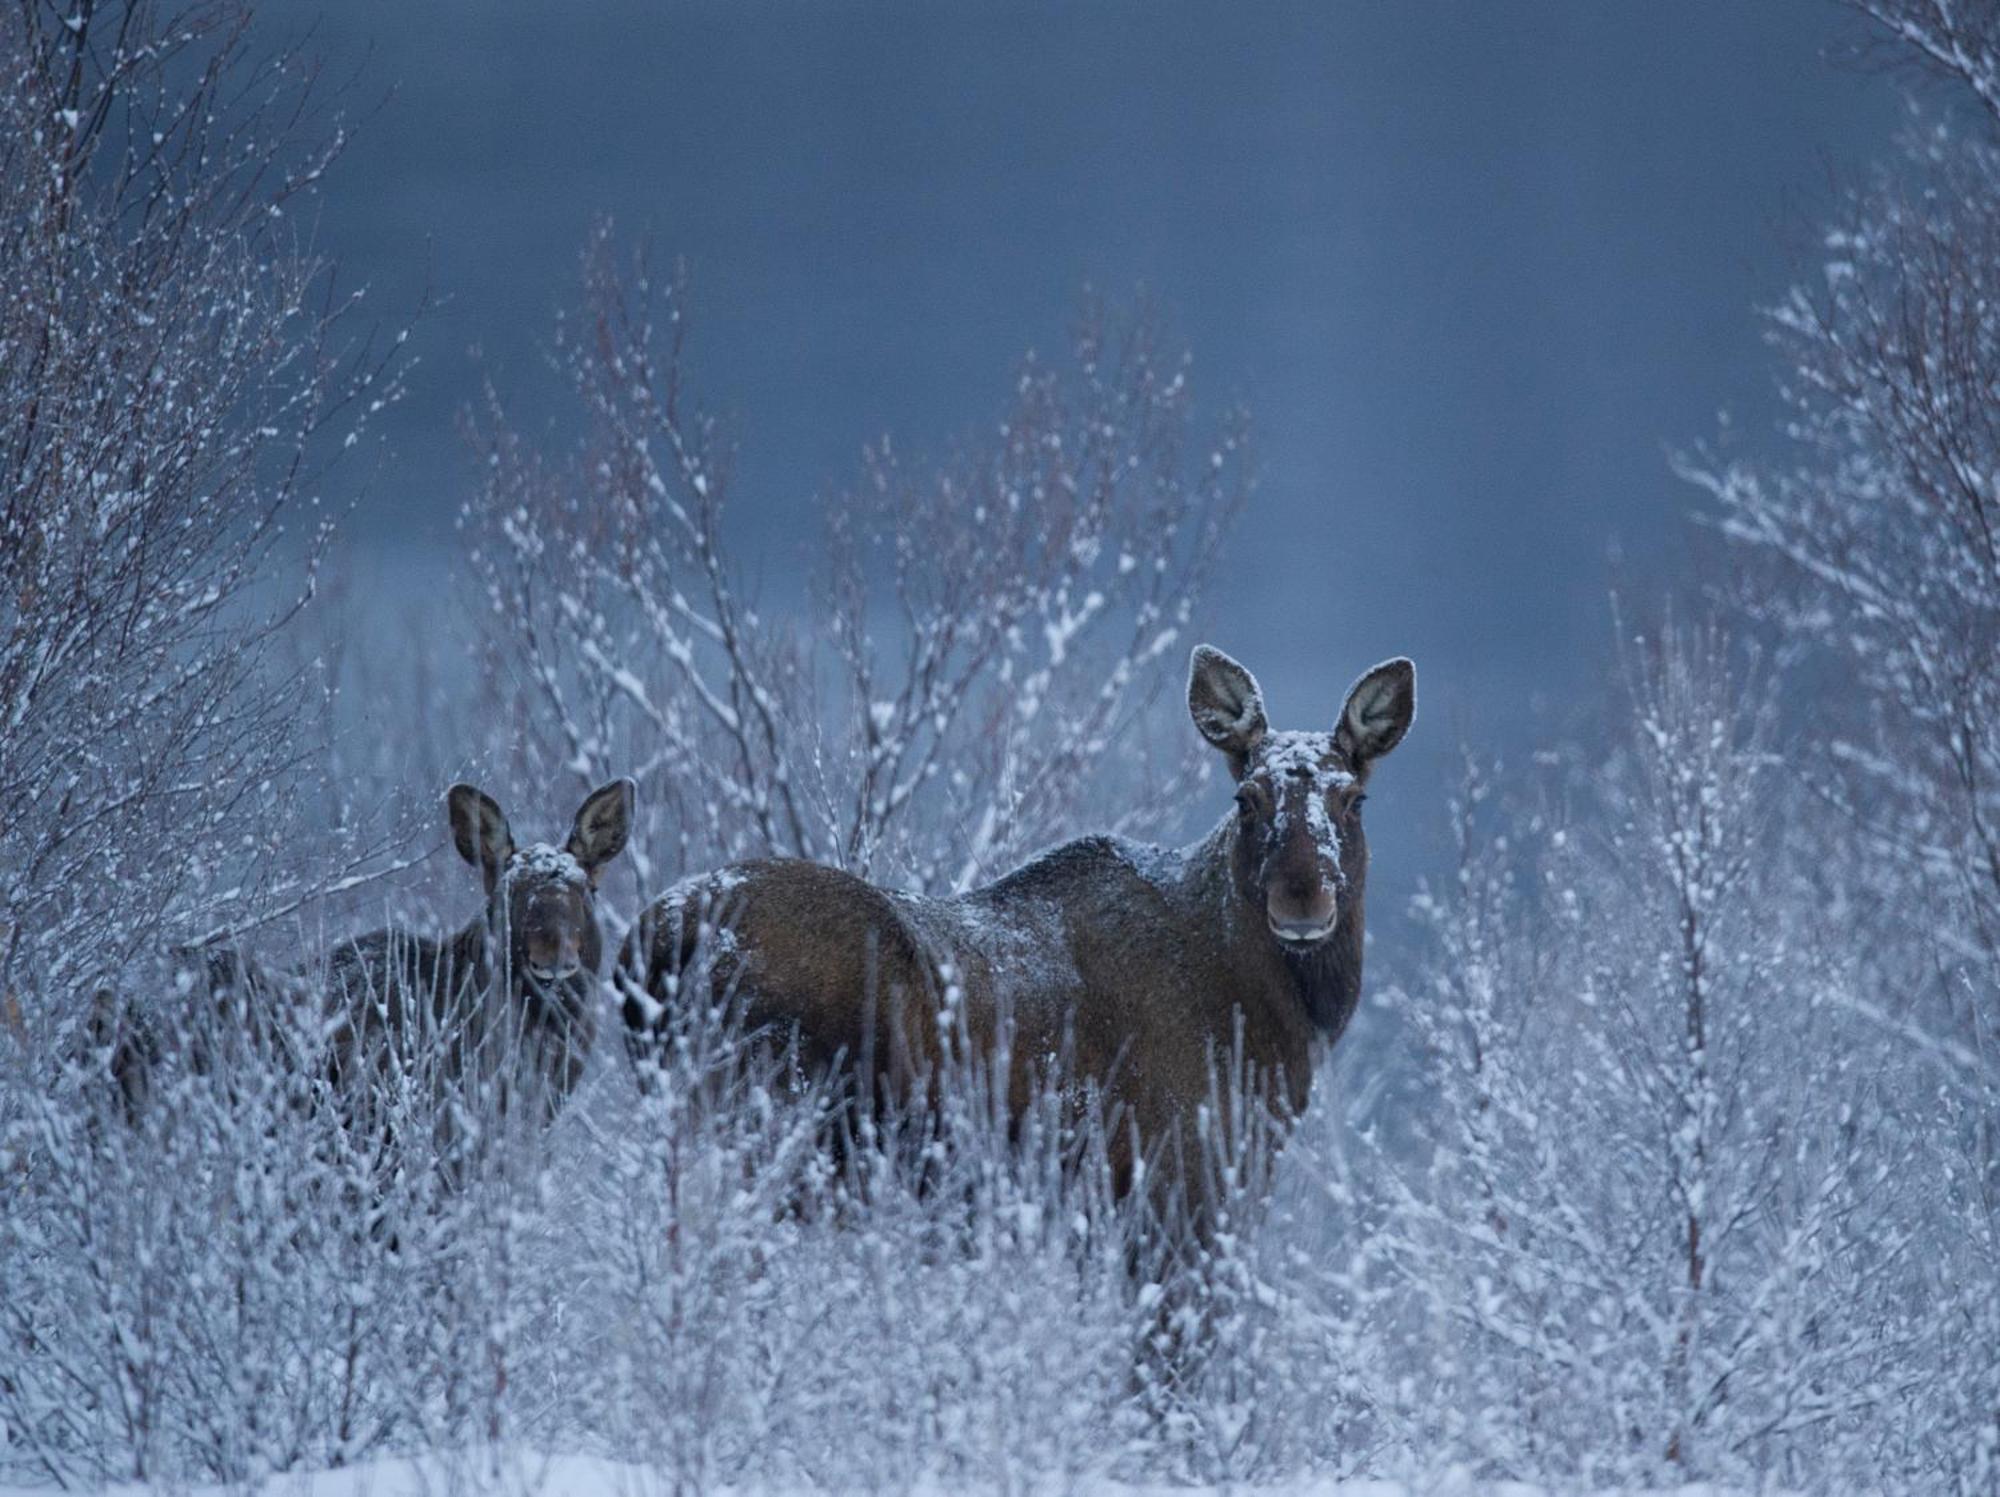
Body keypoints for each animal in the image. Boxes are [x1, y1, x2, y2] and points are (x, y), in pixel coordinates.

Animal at [616, 648, 1416, 1224]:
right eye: (1247, 798)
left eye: (1354, 798)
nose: (1301, 896)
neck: (1282, 1032)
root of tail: (650, 940)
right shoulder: (1180, 1187)